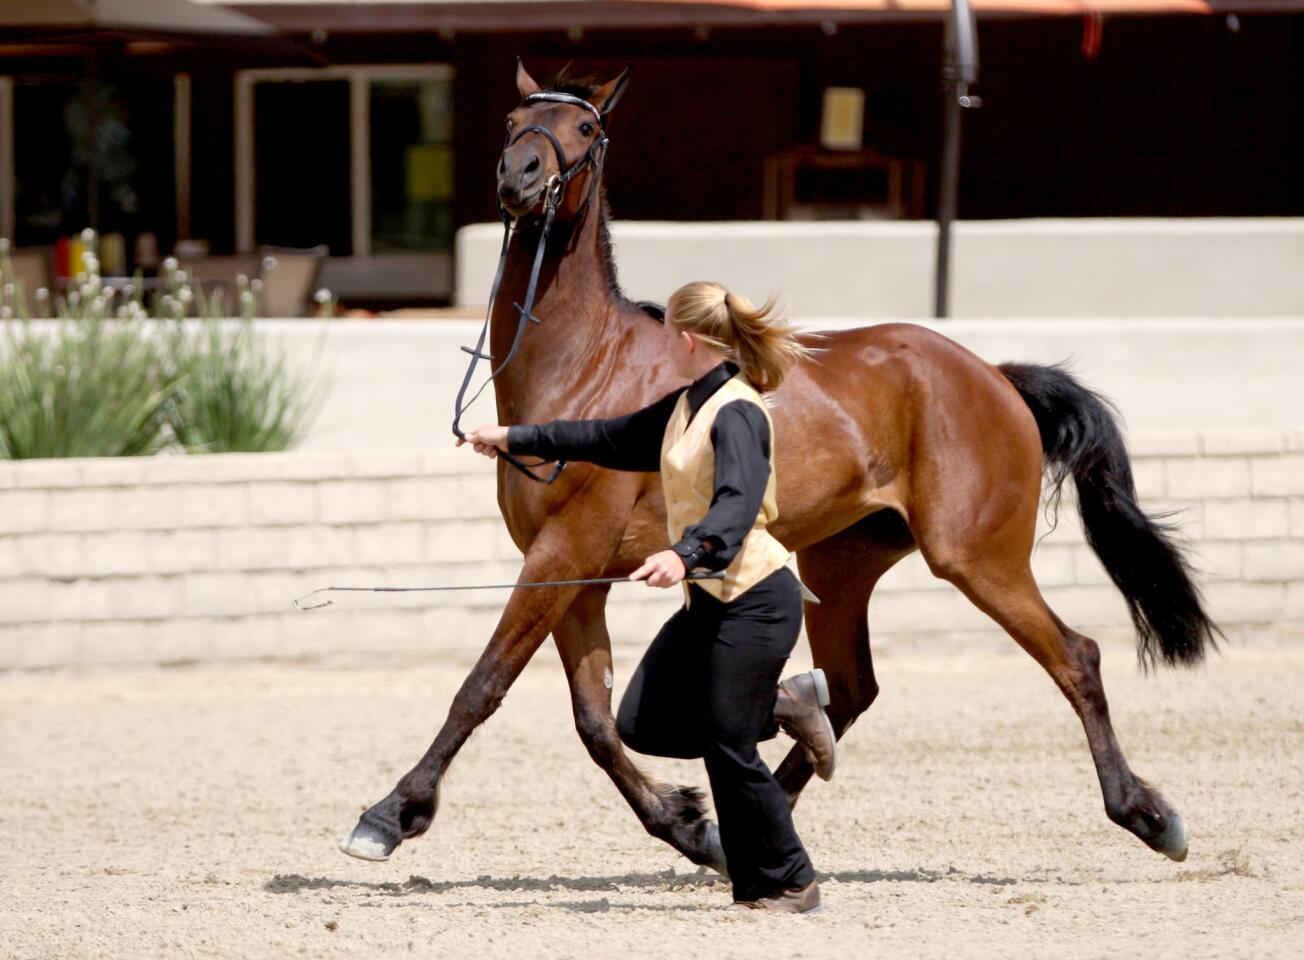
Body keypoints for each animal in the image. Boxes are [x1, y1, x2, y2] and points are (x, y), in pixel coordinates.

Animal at [341, 58, 1215, 871]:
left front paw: (388, 816)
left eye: (584, 129)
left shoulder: (563, 555)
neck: (587, 364)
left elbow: (482, 686)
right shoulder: (575, 576)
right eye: (514, 118)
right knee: (849, 689)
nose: (520, 177)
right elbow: (595, 721)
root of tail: (994, 377)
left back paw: (1149, 815)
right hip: (844, 563)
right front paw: (687, 823)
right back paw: (746, 831)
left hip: (977, 558)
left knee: (1076, 658)